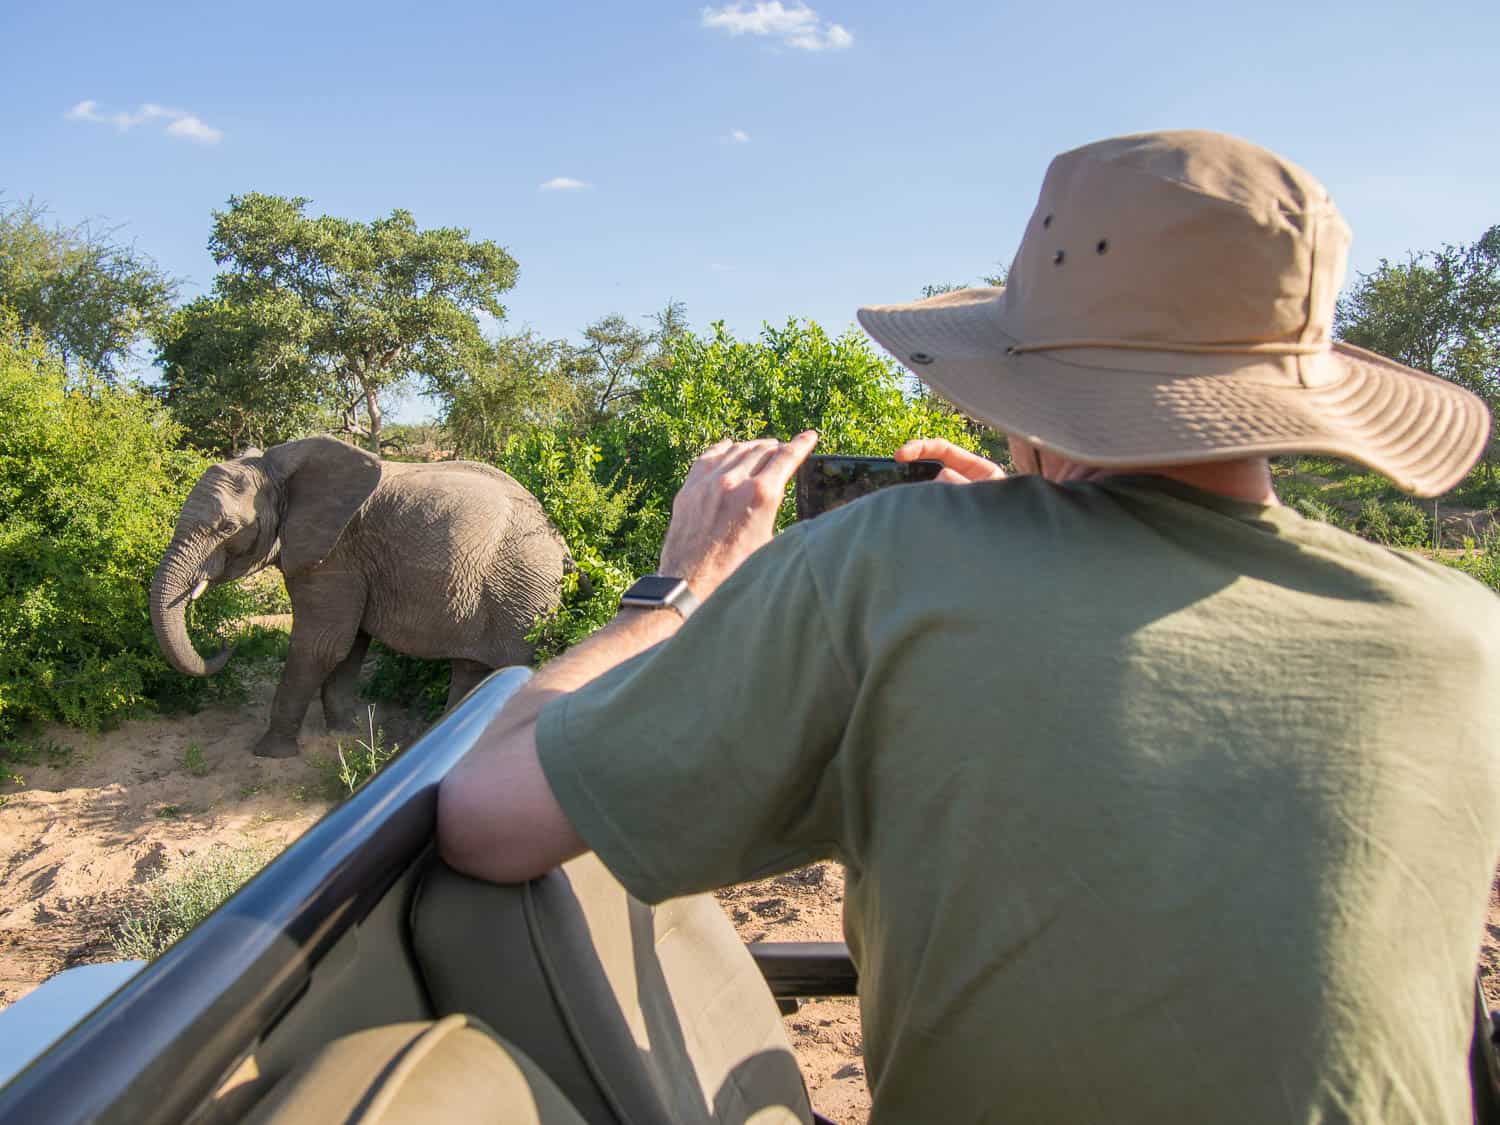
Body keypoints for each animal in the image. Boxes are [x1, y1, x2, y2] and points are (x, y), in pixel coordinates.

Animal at [150, 435, 573, 762]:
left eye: (227, 528)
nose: (227, 643)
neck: (278, 468)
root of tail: (561, 542)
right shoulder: (347, 559)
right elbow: (349, 643)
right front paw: (343, 731)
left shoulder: (335, 554)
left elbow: (321, 644)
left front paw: (269, 753)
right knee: (471, 669)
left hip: (523, 592)